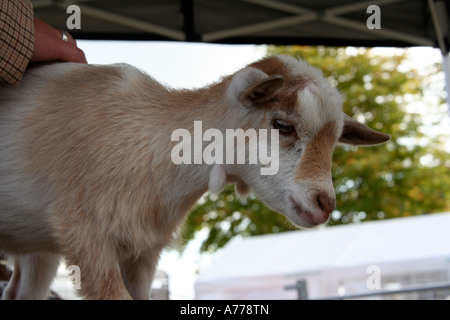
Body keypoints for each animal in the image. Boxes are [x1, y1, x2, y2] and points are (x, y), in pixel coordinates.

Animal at [0, 55, 386, 300]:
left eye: (335, 140)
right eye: (282, 125)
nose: (325, 203)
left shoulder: (143, 254)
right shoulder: (87, 237)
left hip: (41, 250)